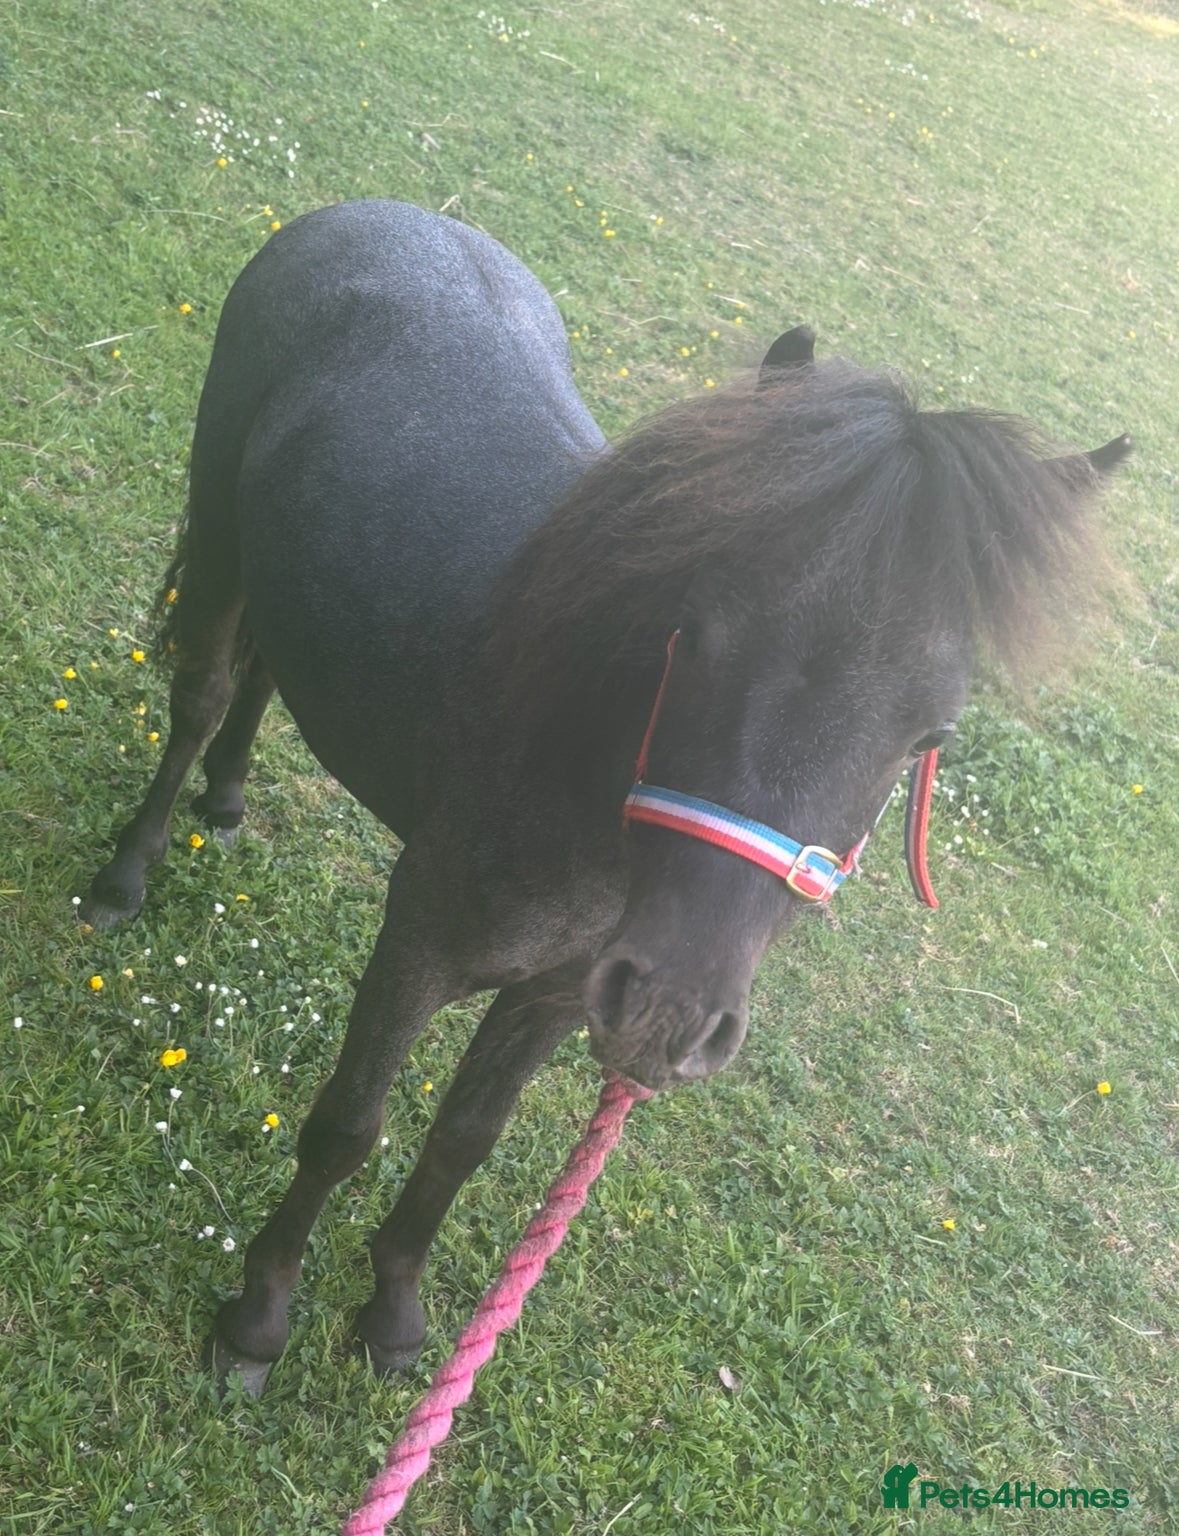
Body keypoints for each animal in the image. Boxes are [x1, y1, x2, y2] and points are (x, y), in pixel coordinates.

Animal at [79, 200, 1128, 1392]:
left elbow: (462, 1141)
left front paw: (393, 1316)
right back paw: (127, 872)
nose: (674, 1012)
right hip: (217, 534)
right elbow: (349, 1126)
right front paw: (257, 1321)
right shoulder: (419, 936)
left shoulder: (559, 989)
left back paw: (227, 800)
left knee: (261, 675)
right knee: (204, 695)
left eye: (932, 734)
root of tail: (381, 214)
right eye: (697, 632)